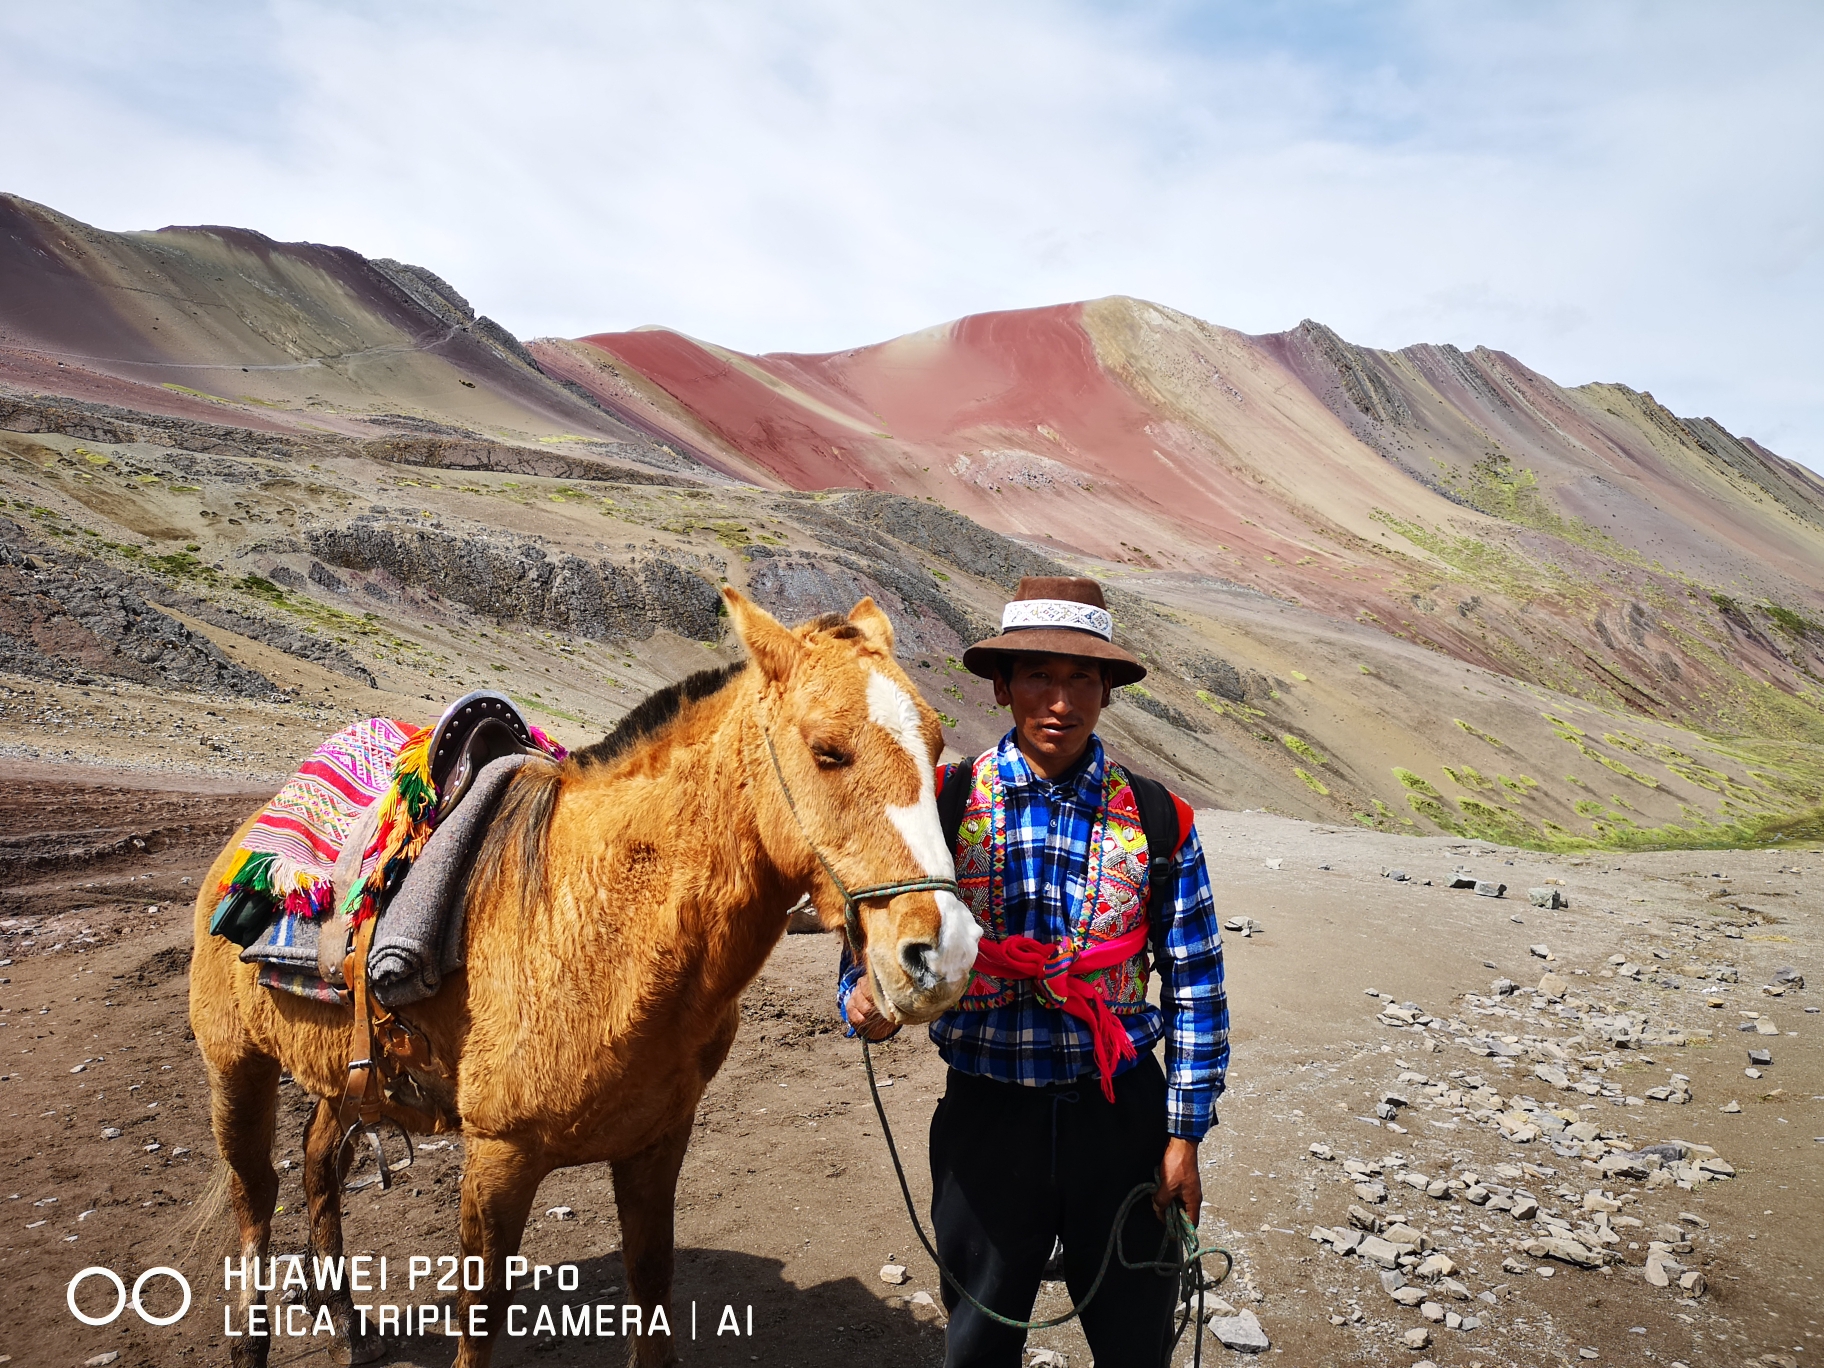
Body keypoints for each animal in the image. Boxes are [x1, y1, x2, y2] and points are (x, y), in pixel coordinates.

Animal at [186, 590, 984, 1368]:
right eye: (827, 751)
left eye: (936, 749)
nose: (943, 955)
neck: (599, 928)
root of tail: (249, 834)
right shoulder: (498, 1157)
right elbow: (480, 1320)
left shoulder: (656, 1143)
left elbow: (651, 1286)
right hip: (237, 1068)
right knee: (257, 1199)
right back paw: (253, 1340)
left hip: (343, 1082)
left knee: (320, 1164)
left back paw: (350, 1326)